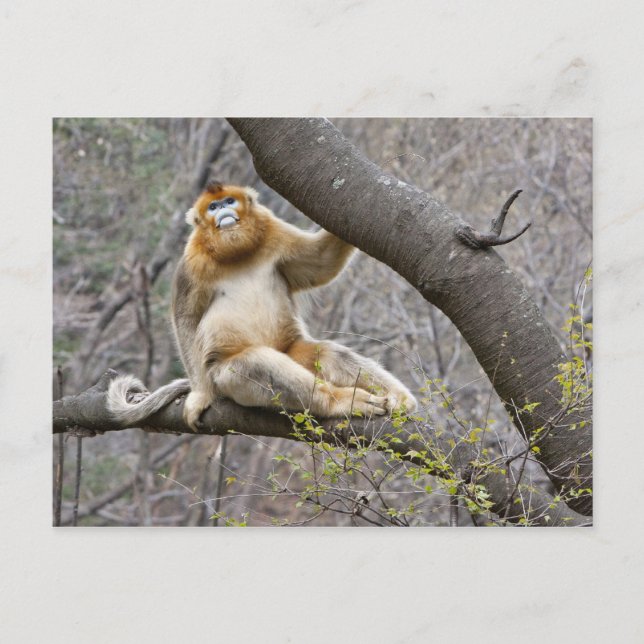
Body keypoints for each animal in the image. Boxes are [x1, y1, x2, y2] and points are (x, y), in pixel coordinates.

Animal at [108, 181, 418, 430]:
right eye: (213, 207)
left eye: (229, 201)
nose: (222, 211)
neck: (236, 252)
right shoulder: (191, 262)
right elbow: (186, 319)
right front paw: (199, 396)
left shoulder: (274, 230)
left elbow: (322, 261)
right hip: (222, 378)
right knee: (255, 363)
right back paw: (340, 402)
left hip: (291, 349)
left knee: (328, 354)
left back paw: (398, 397)